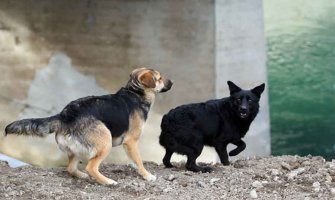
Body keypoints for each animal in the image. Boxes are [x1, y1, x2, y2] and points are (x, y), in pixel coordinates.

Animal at [4, 68, 173, 185]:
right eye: (159, 78)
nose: (172, 82)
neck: (135, 92)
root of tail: (65, 115)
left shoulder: (129, 146)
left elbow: (134, 158)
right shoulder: (131, 142)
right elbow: (139, 160)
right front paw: (147, 175)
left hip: (76, 150)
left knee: (71, 168)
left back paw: (82, 175)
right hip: (105, 142)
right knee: (91, 167)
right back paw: (107, 182)